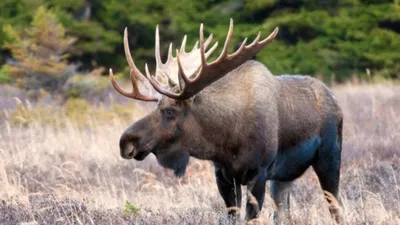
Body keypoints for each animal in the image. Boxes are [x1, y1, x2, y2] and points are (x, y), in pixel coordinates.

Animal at [110, 18, 344, 224]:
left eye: (169, 111)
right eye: (155, 106)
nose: (126, 141)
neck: (227, 140)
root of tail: (335, 99)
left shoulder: (258, 172)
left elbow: (251, 218)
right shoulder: (223, 175)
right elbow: (233, 216)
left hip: (329, 158)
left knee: (336, 206)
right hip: (283, 177)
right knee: (283, 213)